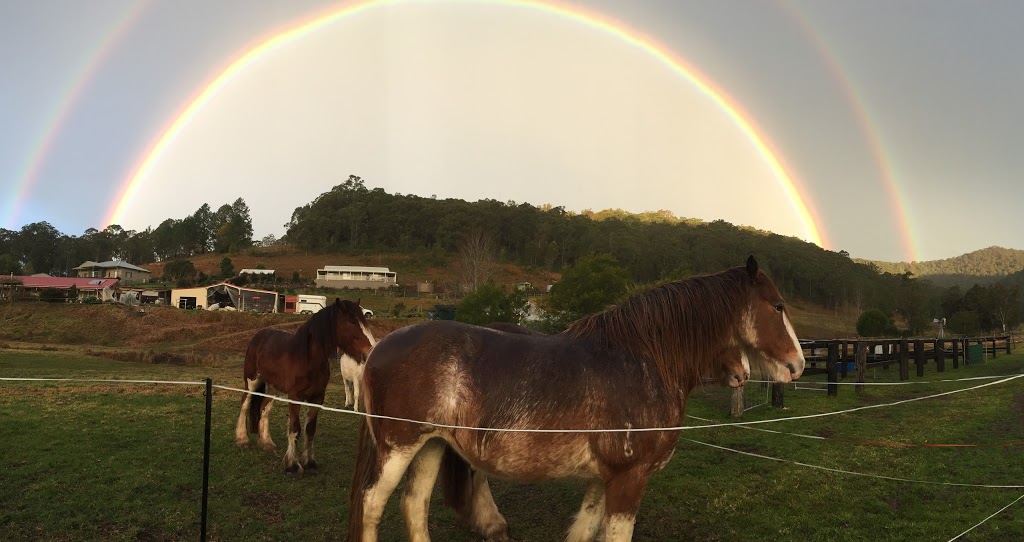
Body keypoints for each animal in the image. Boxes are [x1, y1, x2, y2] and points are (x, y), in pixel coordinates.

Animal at [234, 297, 374, 471]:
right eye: (351, 322)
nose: (370, 351)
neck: (307, 359)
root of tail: (259, 335)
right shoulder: (295, 398)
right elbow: (295, 428)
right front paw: (292, 464)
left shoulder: (317, 398)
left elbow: (310, 429)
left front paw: (309, 462)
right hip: (252, 381)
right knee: (245, 404)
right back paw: (242, 439)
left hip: (273, 387)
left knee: (264, 409)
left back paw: (266, 442)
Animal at [348, 257, 802, 536]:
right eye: (778, 306)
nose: (797, 364)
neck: (642, 358)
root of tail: (379, 347)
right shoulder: (628, 480)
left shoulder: (603, 479)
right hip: (399, 447)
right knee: (371, 506)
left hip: (431, 445)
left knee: (414, 506)